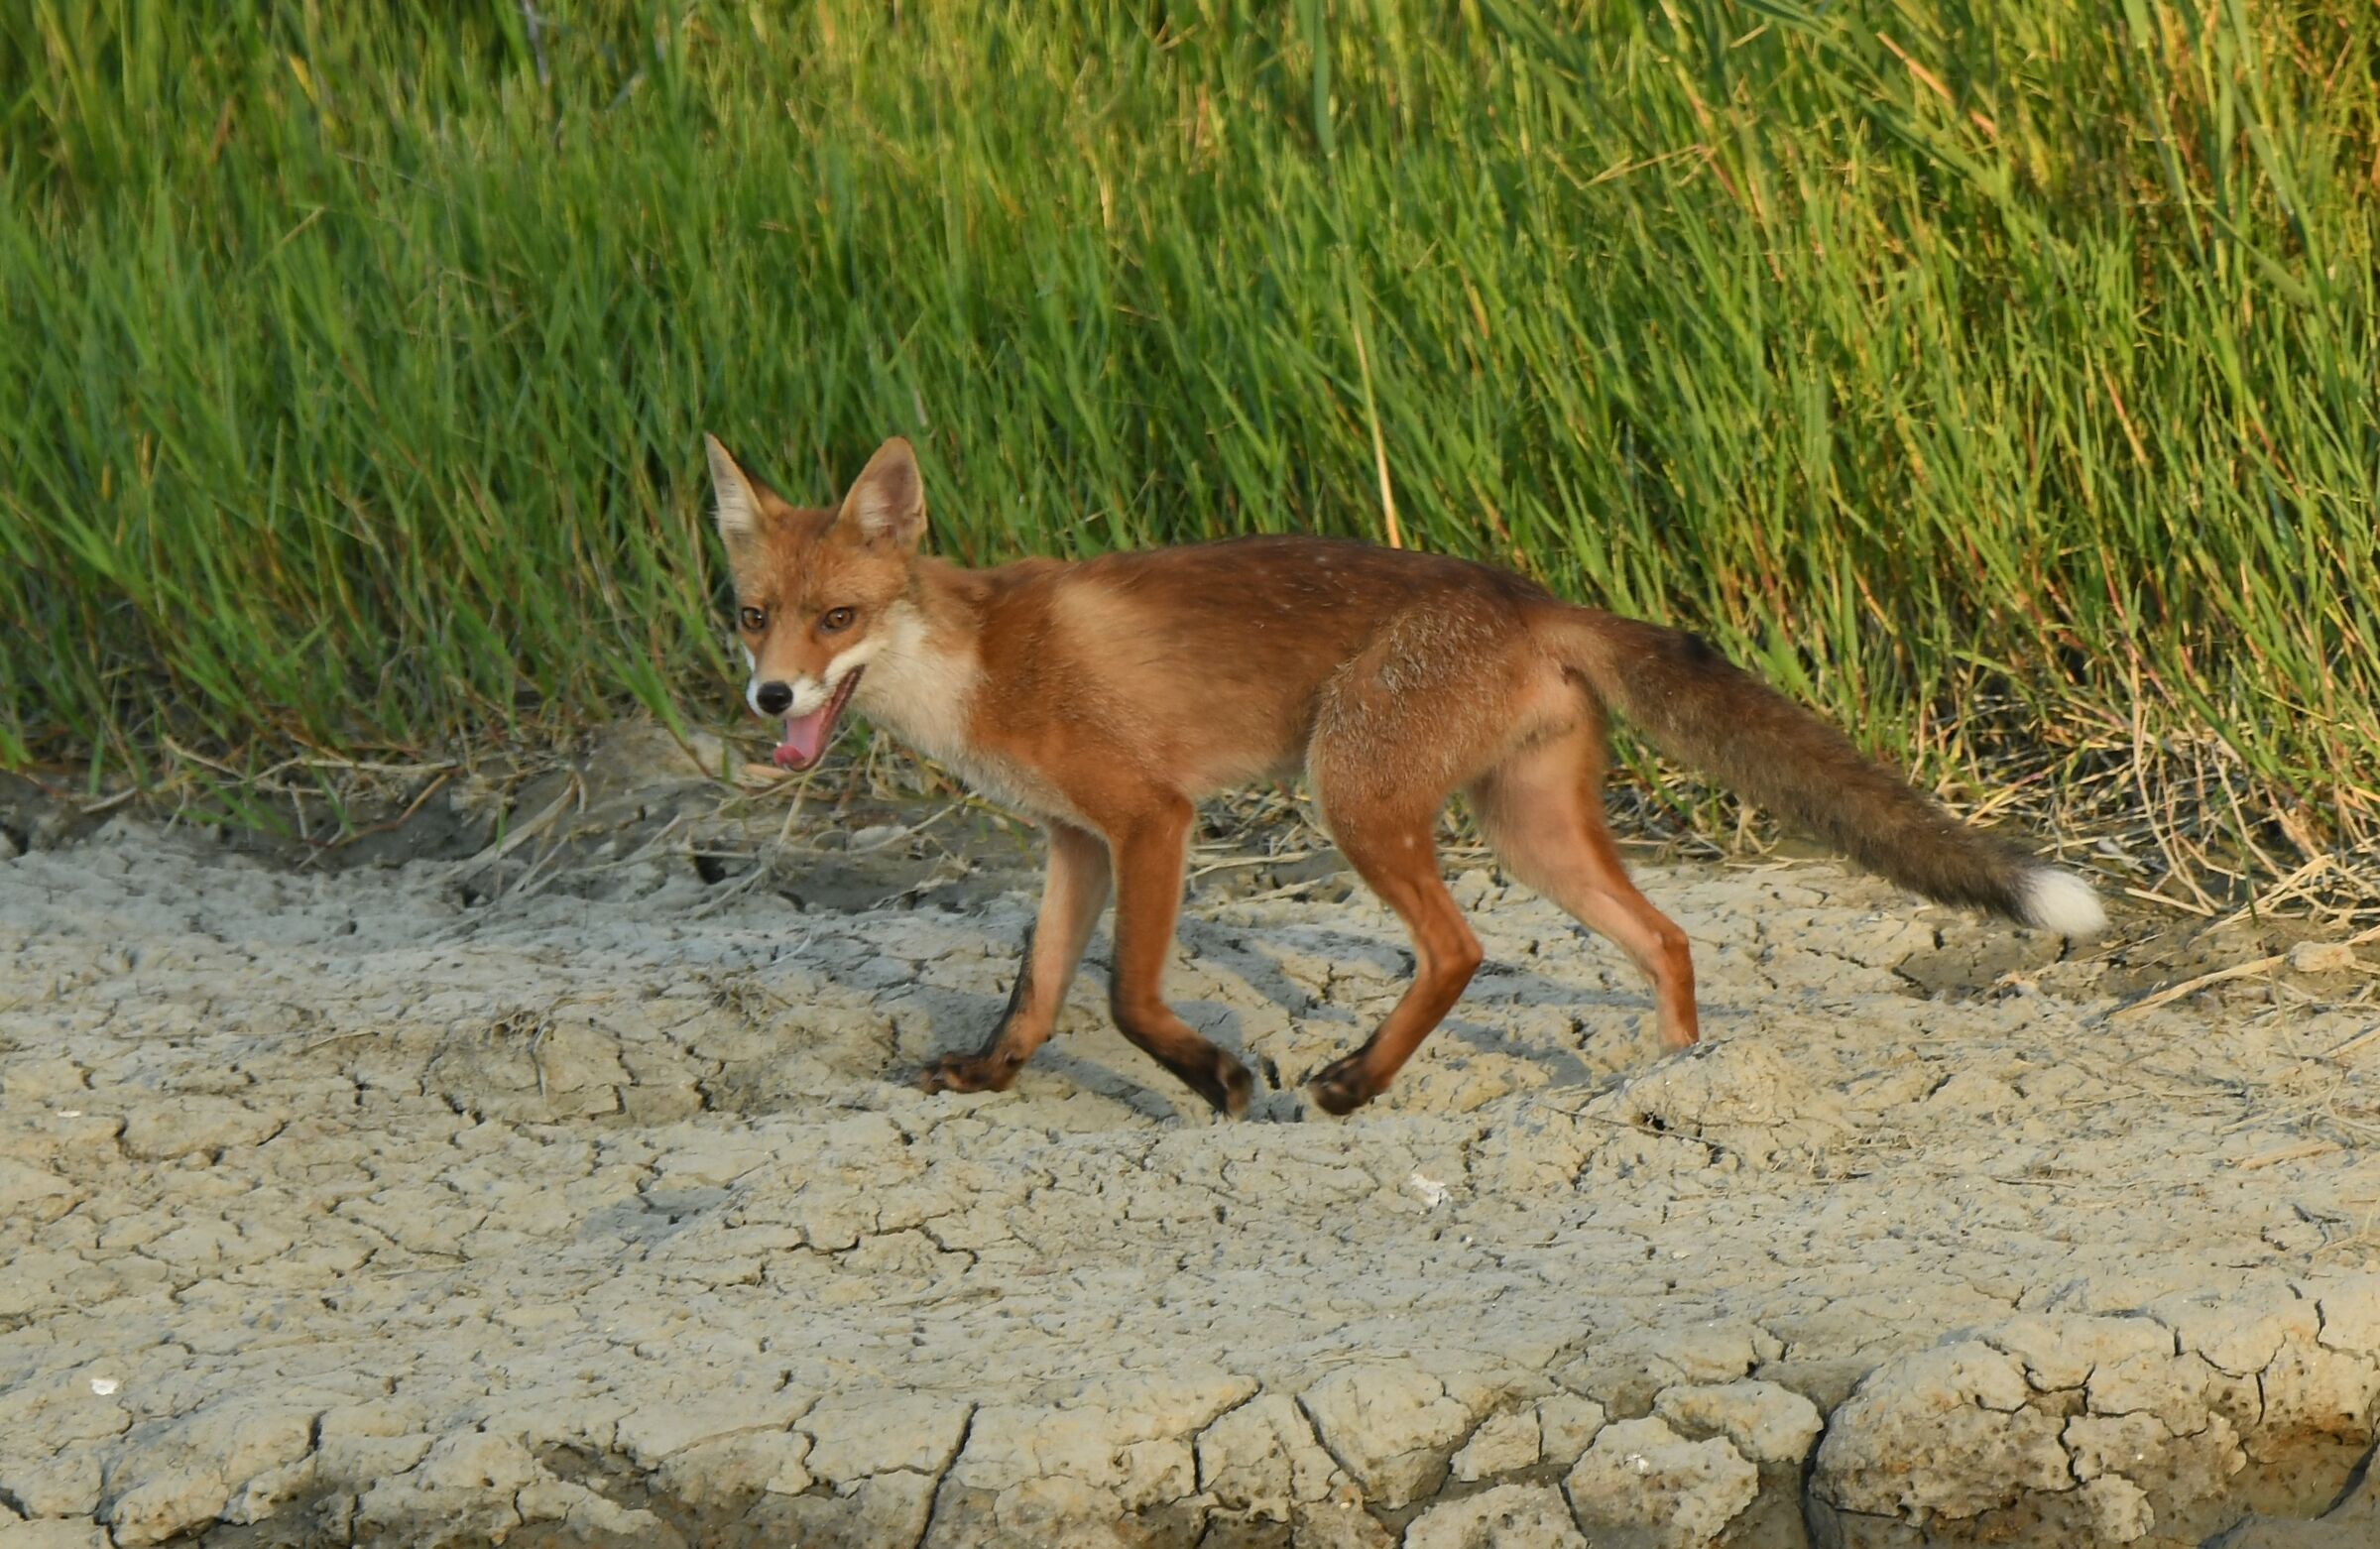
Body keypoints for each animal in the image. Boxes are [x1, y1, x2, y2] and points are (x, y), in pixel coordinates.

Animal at [704, 433, 2107, 1117]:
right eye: (753, 615)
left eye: (837, 619)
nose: (771, 700)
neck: (977, 668)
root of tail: (1531, 594)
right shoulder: (1073, 841)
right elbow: (1038, 992)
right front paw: (988, 1076)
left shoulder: (1152, 816)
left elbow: (1124, 995)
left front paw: (1219, 1078)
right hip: (1531, 827)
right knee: (1664, 937)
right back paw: (1671, 1089)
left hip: (1357, 795)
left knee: (1462, 950)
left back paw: (1360, 1081)